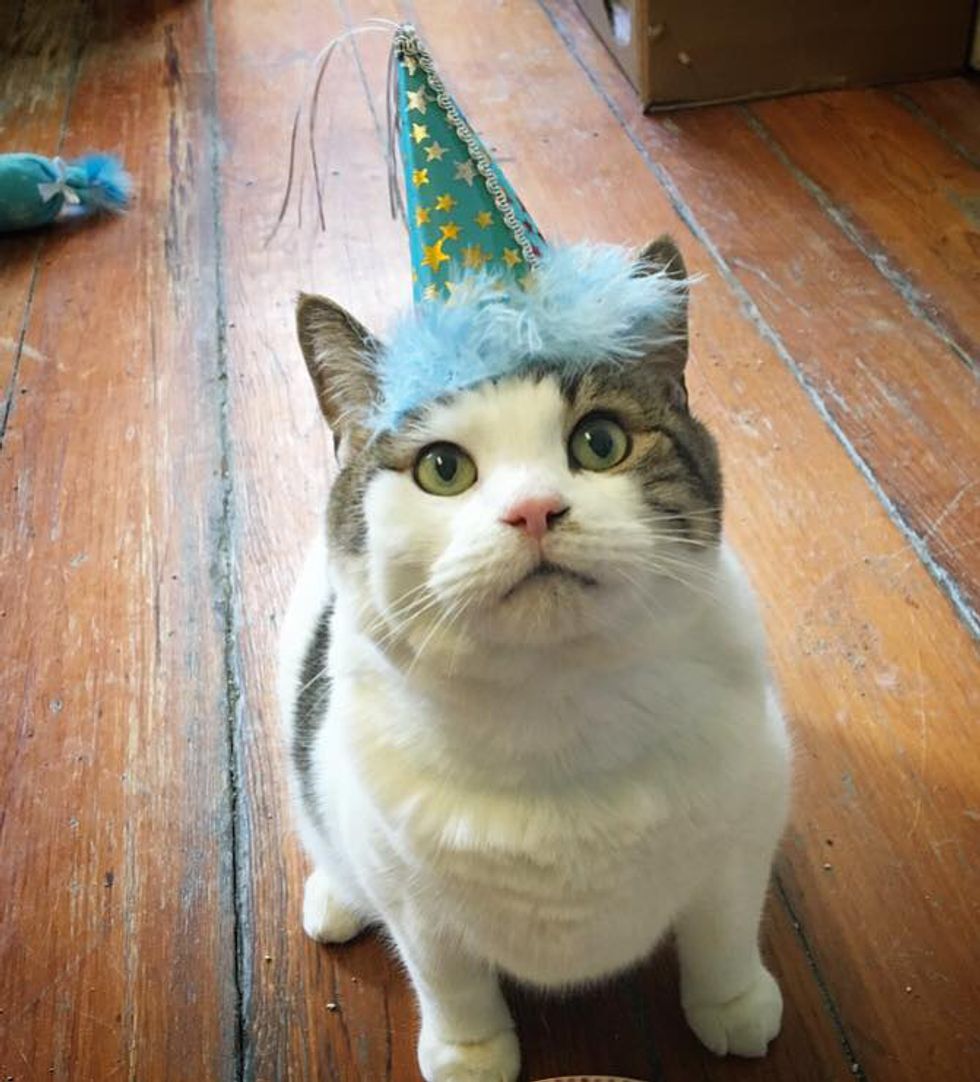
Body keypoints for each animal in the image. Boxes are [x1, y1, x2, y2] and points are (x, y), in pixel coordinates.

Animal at [278, 236, 791, 1082]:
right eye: (443, 468)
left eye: (601, 441)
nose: (533, 510)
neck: (556, 702)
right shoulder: (416, 900)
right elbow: (447, 976)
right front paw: (471, 1052)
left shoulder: (745, 827)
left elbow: (723, 929)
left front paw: (733, 1003)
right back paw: (337, 898)